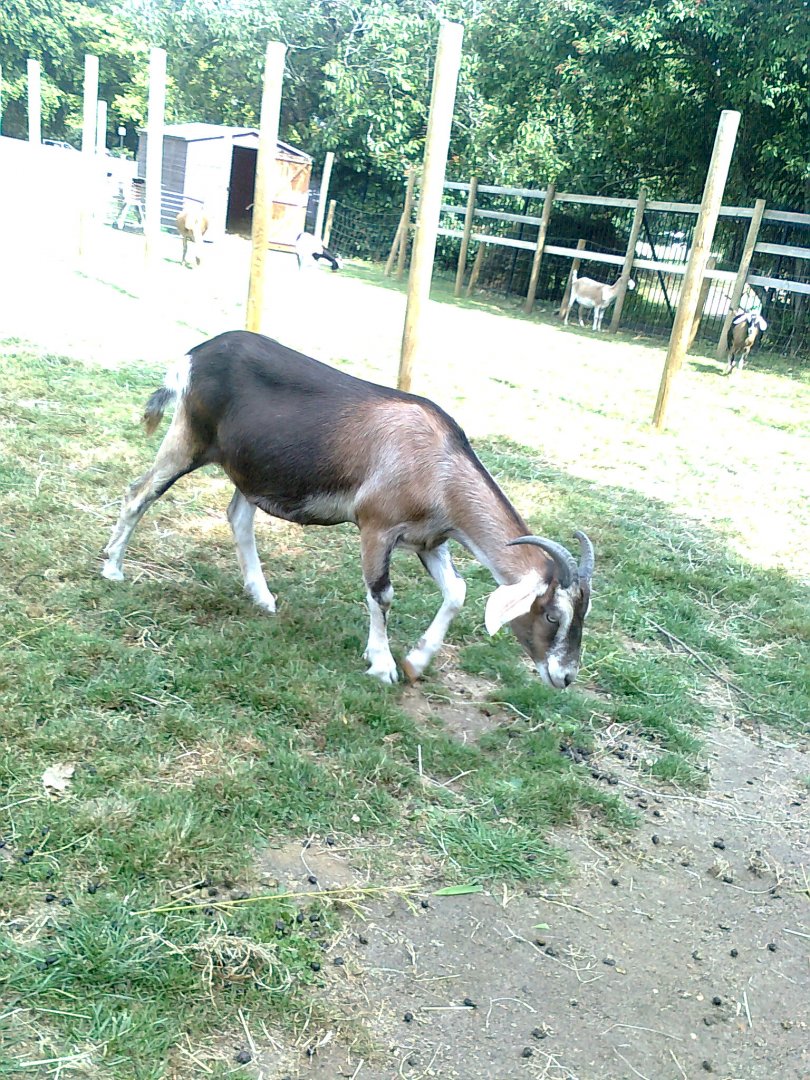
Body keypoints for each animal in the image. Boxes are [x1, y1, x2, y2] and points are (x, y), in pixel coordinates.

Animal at [102, 332, 595, 688]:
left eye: (582, 614)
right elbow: (382, 594)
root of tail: (192, 357)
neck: (440, 464)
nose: (565, 676)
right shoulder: (376, 527)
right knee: (138, 493)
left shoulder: (429, 539)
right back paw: (113, 569)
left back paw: (262, 597)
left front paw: (416, 661)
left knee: (238, 516)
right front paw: (383, 665)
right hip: (189, 437)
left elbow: (456, 591)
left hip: (253, 468)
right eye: (553, 615)